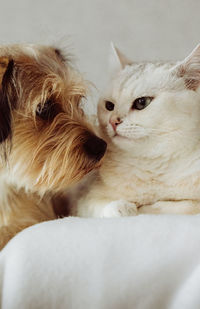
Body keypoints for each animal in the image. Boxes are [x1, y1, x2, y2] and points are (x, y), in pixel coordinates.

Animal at [72, 43, 200, 217]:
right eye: (109, 106)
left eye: (141, 102)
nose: (113, 122)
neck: (153, 164)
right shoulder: (83, 200)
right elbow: (104, 206)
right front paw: (124, 208)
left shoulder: (192, 204)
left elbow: (176, 206)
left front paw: (144, 208)